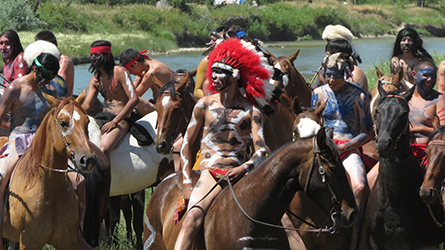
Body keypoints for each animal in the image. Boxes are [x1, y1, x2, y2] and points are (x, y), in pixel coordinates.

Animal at [2, 94, 96, 250]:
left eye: (87, 122)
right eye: (63, 123)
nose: (88, 159)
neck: (51, 187)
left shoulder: (67, 242)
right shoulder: (28, 241)